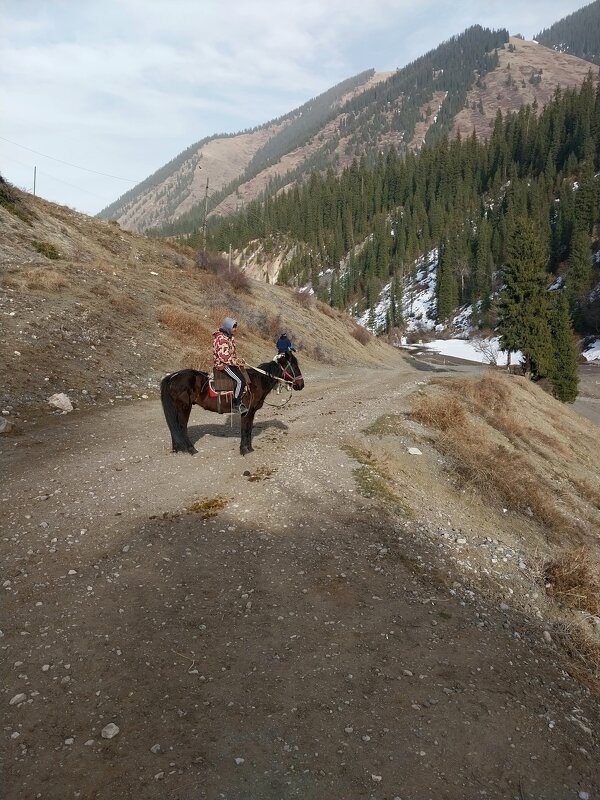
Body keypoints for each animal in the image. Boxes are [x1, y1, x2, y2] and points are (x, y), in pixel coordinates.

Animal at [161, 352, 304, 456]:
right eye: (294, 365)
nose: (301, 385)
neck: (256, 382)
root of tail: (173, 376)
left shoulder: (251, 412)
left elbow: (249, 430)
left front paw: (249, 449)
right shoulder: (247, 412)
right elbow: (245, 429)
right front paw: (244, 450)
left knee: (174, 427)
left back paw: (177, 449)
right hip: (184, 407)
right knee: (181, 427)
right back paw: (191, 449)